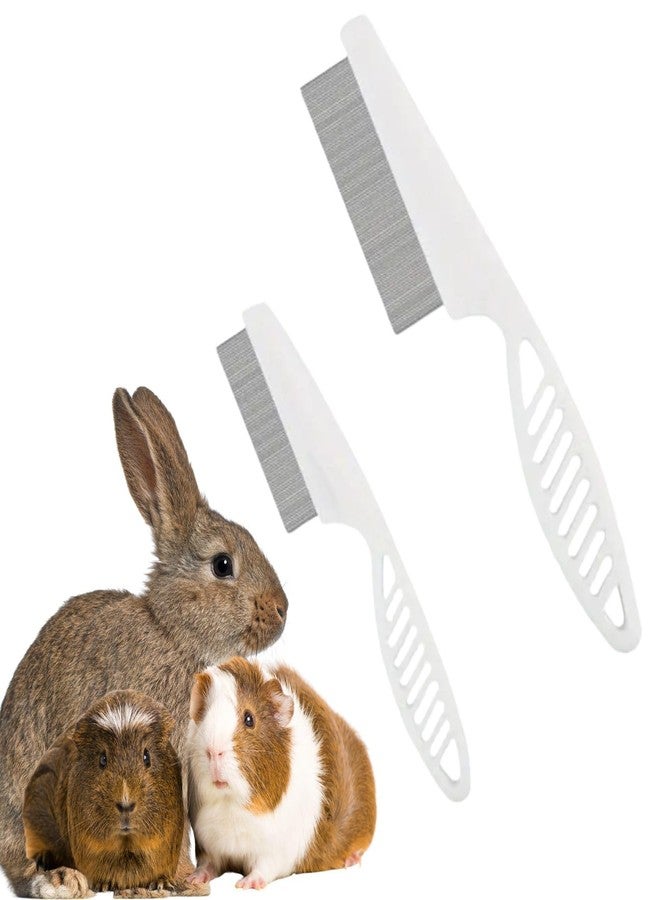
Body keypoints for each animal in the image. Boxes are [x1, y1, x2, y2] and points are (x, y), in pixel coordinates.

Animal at [22, 690, 184, 895]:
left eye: (146, 756)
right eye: (102, 759)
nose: (125, 804)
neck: (126, 847)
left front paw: (160, 884)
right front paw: (104, 885)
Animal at [185, 656, 376, 889]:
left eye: (249, 719)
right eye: (204, 716)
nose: (213, 751)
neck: (231, 805)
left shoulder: (275, 852)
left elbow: (263, 869)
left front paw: (246, 884)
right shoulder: (209, 846)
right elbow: (207, 865)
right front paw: (193, 879)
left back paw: (351, 860)